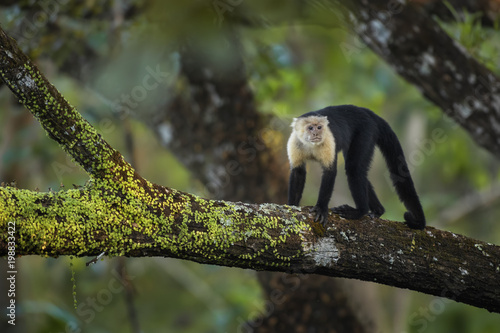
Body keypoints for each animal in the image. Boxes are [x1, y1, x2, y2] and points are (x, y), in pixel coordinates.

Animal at [290, 105, 426, 230]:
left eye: (319, 127)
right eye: (310, 128)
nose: (316, 133)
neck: (311, 145)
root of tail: (364, 111)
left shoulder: (328, 140)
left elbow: (330, 172)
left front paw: (321, 208)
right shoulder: (295, 141)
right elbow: (298, 172)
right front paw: (292, 206)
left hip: (366, 131)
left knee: (354, 169)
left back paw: (360, 211)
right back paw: (378, 210)